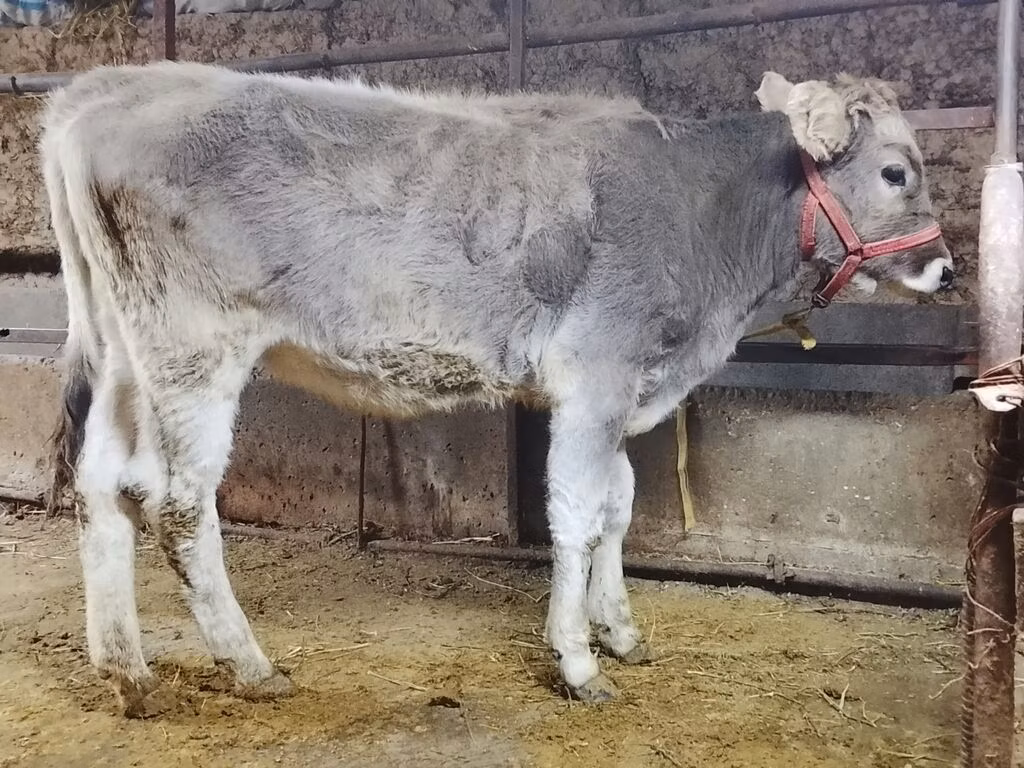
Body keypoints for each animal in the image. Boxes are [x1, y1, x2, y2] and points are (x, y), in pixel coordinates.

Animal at [40, 61, 953, 717]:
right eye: (898, 172)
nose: (945, 268)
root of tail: (101, 91)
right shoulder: (598, 374)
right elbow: (577, 514)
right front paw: (578, 661)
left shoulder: (618, 390)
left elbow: (618, 506)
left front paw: (619, 630)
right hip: (194, 347)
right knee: (177, 504)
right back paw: (249, 665)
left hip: (125, 353)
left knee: (101, 489)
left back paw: (127, 673)